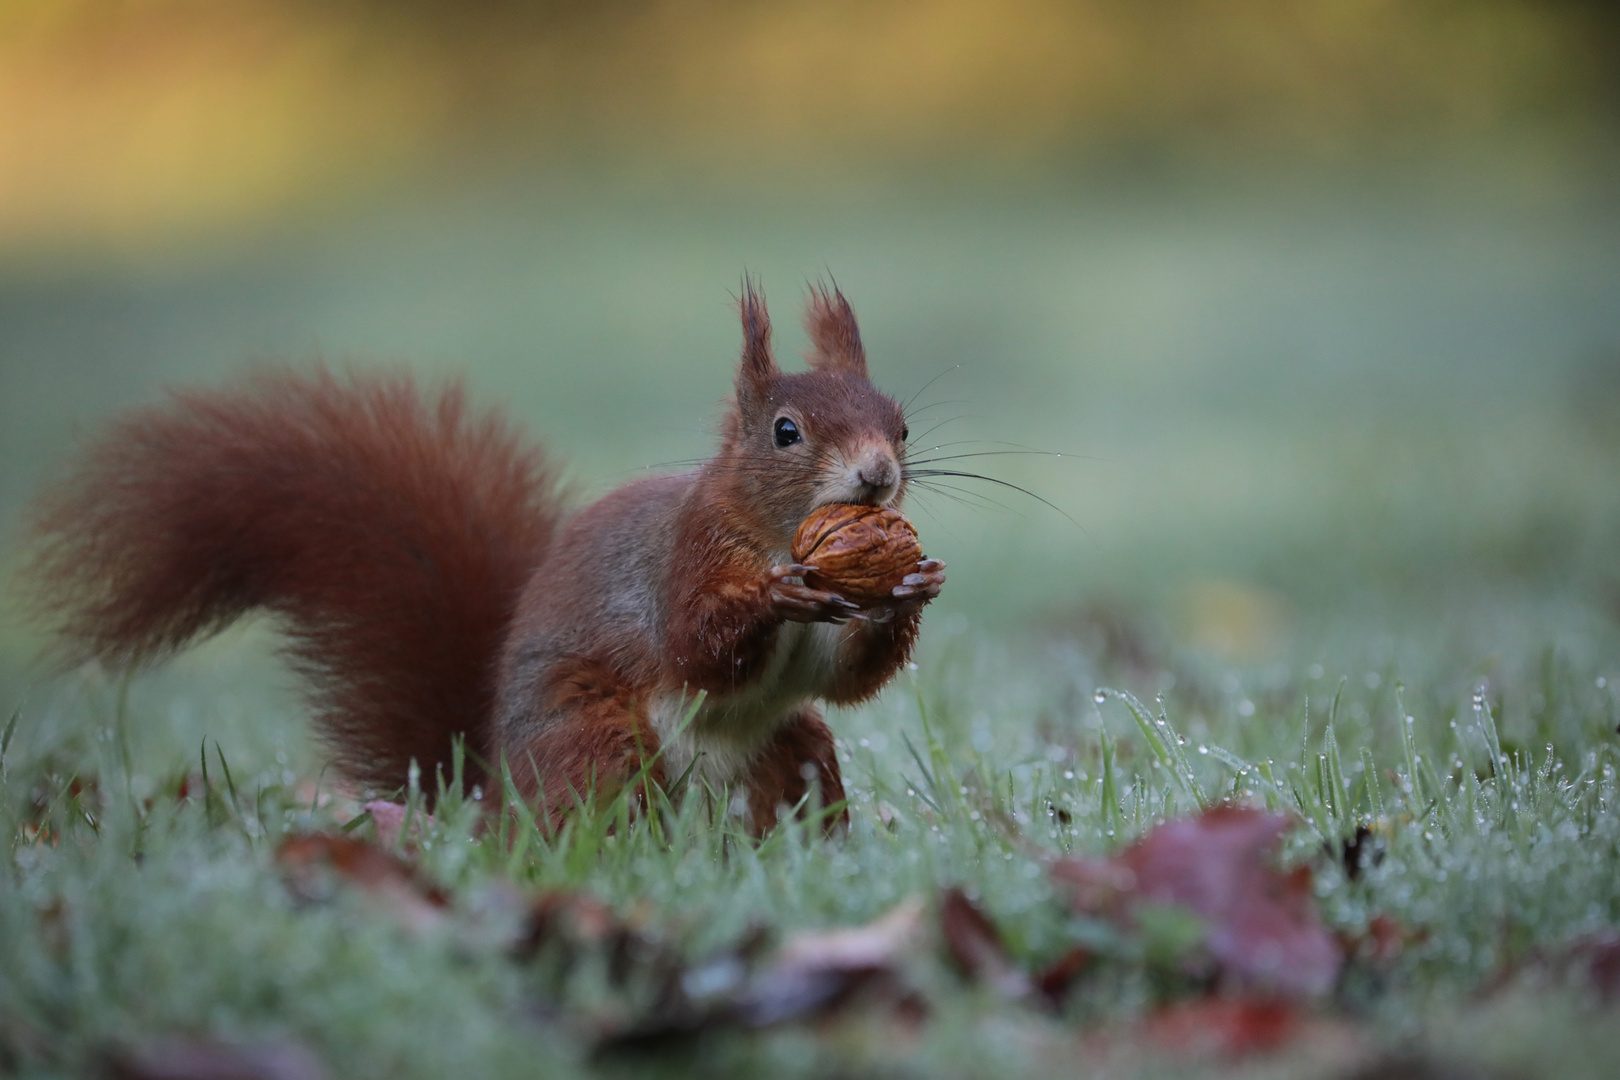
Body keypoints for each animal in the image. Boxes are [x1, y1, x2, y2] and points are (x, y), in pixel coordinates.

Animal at [22, 283, 939, 835]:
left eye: (899, 425)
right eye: (786, 432)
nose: (879, 476)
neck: (775, 530)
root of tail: (492, 803)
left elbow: (841, 677)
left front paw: (909, 586)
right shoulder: (680, 560)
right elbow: (695, 645)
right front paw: (777, 594)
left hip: (790, 747)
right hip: (593, 739)